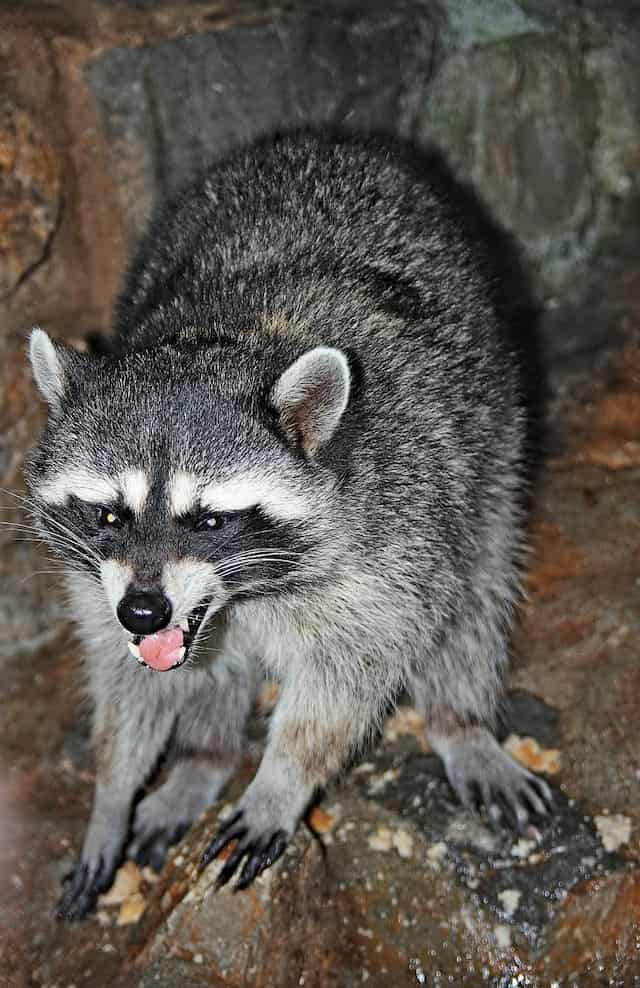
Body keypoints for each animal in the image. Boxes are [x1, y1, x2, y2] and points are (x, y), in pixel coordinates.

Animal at [26, 129, 552, 920]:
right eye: (111, 514)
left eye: (210, 519)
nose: (145, 611)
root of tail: (328, 137)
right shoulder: (99, 581)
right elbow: (129, 679)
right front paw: (112, 793)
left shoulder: (395, 532)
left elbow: (350, 676)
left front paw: (281, 780)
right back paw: (203, 761)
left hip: (490, 433)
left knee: (475, 590)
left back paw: (460, 721)